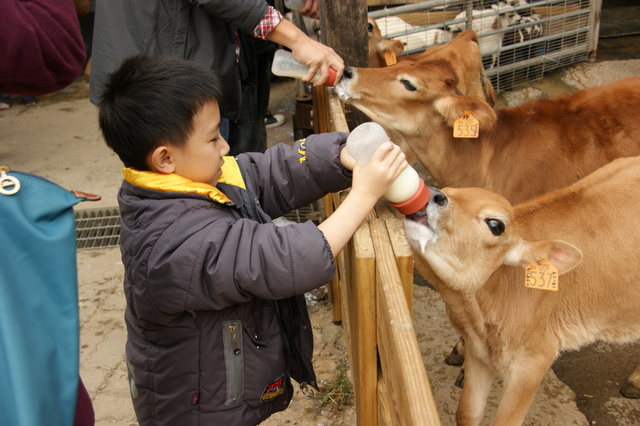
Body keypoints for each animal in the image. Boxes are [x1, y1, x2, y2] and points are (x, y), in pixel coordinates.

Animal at [404, 156, 640, 422]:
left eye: (495, 225)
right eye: (449, 190)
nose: (434, 194)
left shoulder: (533, 360)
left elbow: (505, 421)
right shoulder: (479, 354)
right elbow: (466, 412)